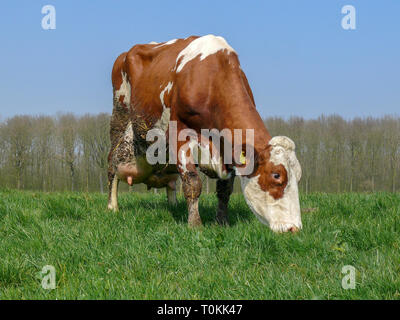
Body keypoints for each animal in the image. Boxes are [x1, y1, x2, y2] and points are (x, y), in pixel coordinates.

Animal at [108, 35, 302, 234]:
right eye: (276, 175)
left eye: (298, 176)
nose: (294, 228)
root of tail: (125, 54)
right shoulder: (180, 134)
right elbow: (192, 182)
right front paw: (195, 224)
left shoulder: (228, 148)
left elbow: (224, 189)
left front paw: (222, 221)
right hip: (120, 115)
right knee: (111, 165)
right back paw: (112, 206)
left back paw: (173, 205)